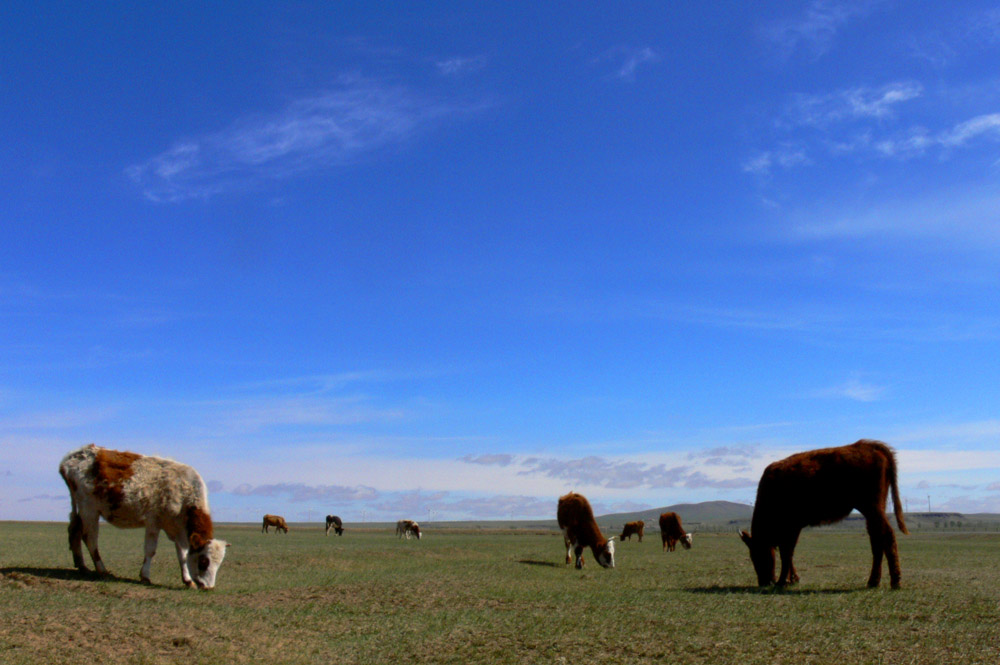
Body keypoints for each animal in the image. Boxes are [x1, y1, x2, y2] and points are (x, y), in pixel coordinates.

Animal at [59, 444, 230, 588]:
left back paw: (82, 566)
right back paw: (102, 570)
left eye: (218, 564)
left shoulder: (179, 529)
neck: (184, 493)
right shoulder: (154, 522)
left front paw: (188, 580)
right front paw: (145, 576)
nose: (208, 587)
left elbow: (182, 554)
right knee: (90, 538)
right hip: (89, 510)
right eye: (204, 561)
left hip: (80, 509)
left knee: (75, 531)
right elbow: (150, 550)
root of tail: (73, 456)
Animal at [740, 440, 912, 588]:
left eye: (758, 554)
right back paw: (873, 581)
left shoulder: (792, 527)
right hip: (873, 511)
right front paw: (792, 579)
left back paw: (895, 581)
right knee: (876, 539)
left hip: (872, 508)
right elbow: (788, 553)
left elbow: (787, 553)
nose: (764, 582)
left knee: (886, 535)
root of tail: (868, 445)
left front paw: (783, 581)